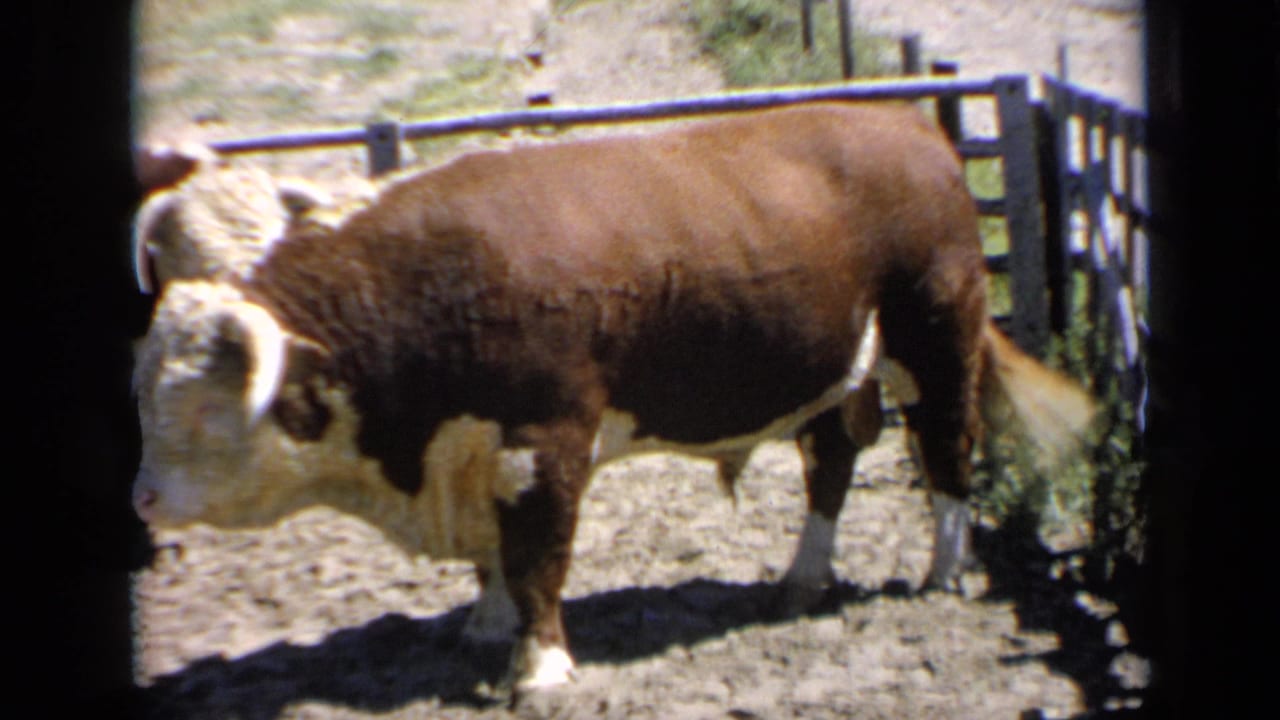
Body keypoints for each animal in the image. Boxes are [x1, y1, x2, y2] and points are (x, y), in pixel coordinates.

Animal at [130, 101, 1097, 696]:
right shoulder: (476, 451)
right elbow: (496, 561)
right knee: (830, 464)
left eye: (206, 407)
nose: (143, 498)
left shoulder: (544, 442)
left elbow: (538, 559)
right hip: (833, 367)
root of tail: (909, 127)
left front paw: (542, 670)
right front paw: (484, 626)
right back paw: (801, 578)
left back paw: (942, 571)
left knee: (949, 448)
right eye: (147, 397)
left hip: (934, 339)